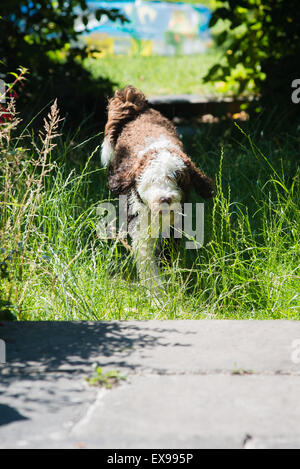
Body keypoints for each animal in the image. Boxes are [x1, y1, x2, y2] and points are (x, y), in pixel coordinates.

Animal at [102, 86, 214, 298]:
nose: (165, 198)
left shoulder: (176, 227)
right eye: (151, 180)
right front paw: (157, 294)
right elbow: (147, 261)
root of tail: (138, 109)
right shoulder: (140, 225)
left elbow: (168, 255)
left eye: (178, 179)